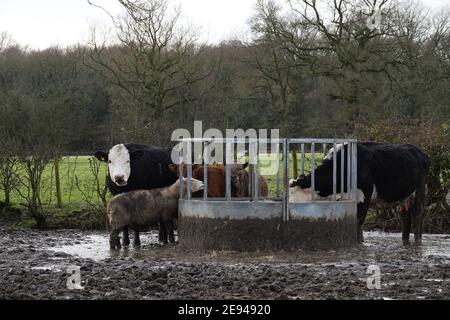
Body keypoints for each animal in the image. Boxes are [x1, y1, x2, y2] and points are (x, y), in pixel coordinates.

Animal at [292, 141, 428, 244]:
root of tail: (419, 150)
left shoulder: (364, 196)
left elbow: (358, 222)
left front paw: (359, 243)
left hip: (419, 193)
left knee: (417, 216)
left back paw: (418, 241)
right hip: (404, 198)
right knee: (405, 218)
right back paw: (405, 240)